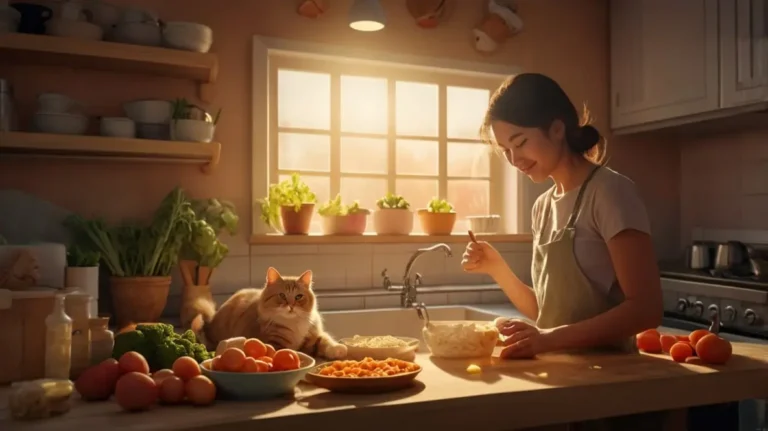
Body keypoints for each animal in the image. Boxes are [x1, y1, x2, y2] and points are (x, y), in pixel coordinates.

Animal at [189, 268, 348, 360]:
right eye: (282, 296)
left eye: (298, 297)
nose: (291, 306)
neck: (293, 324)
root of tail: (211, 322)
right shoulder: (274, 342)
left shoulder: (312, 334)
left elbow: (325, 340)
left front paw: (338, 349)